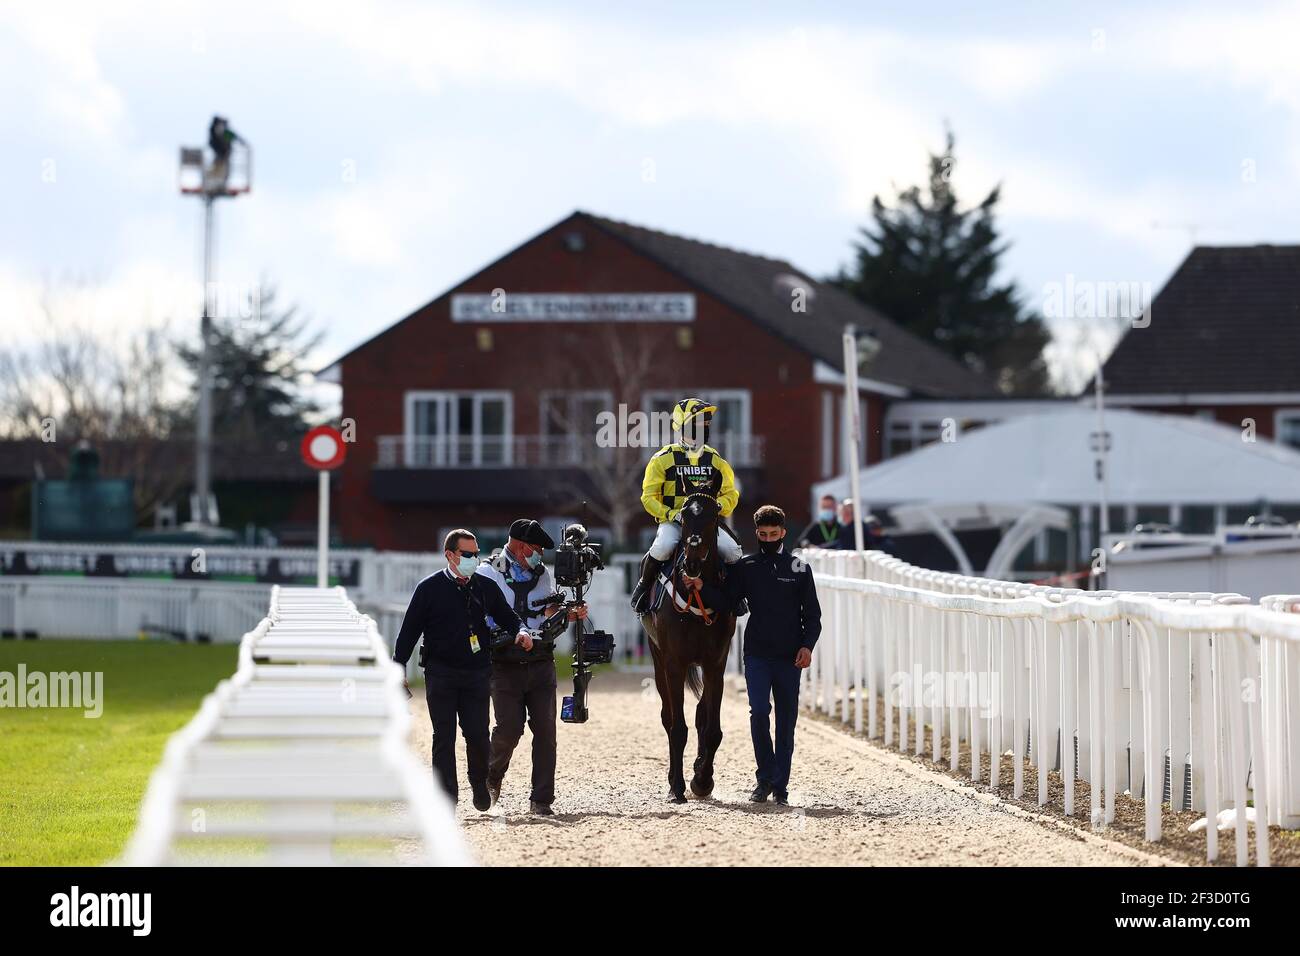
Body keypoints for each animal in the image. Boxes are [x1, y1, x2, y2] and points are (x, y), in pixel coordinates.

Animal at [637, 494, 733, 801]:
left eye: (714, 516)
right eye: (685, 515)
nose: (691, 564)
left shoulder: (716, 663)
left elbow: (712, 728)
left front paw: (702, 779)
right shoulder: (673, 663)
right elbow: (677, 726)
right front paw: (676, 786)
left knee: (702, 713)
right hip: (657, 660)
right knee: (668, 717)